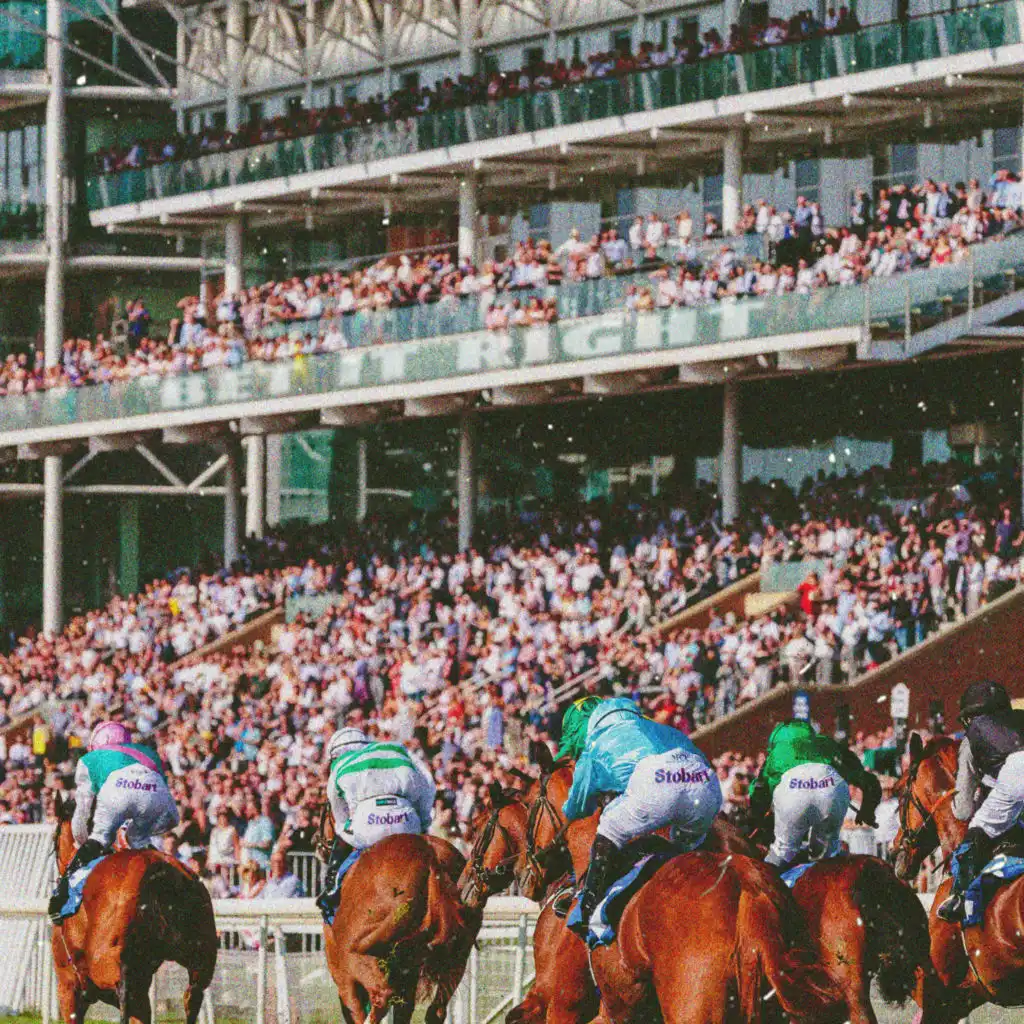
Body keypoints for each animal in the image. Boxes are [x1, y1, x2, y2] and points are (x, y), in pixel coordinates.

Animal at [51, 792, 217, 1024]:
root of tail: (158, 870)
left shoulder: (68, 986)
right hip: (201, 955)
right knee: (193, 995)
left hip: (107, 962)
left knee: (124, 991)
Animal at [315, 801, 481, 1024]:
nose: (318, 844)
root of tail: (430, 857)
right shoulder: (408, 973)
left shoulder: (343, 972)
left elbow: (355, 1007)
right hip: (456, 958)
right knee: (436, 1010)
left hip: (357, 959)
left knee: (381, 996)